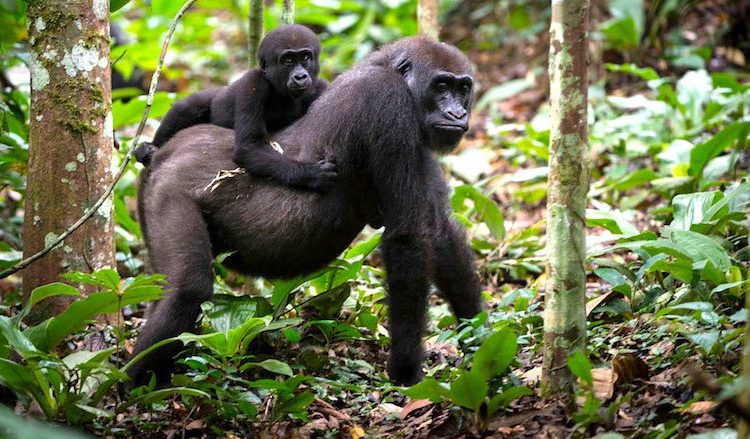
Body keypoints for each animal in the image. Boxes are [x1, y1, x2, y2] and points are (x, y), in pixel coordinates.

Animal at [135, 25, 334, 191]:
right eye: (288, 60)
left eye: (306, 57)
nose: (300, 76)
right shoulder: (252, 84)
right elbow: (249, 148)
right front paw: (310, 174)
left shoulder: (320, 87)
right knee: (189, 106)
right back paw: (148, 149)